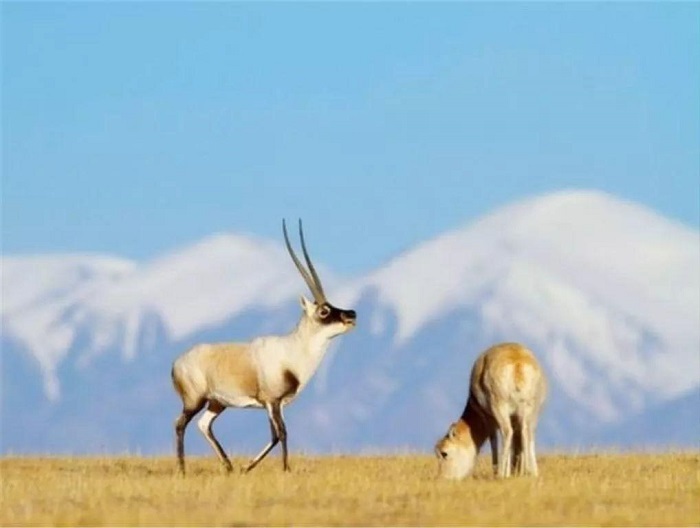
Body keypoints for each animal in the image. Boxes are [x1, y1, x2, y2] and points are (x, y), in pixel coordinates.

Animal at [170, 219, 356, 474]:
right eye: (324, 310)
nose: (351, 314)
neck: (294, 350)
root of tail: (176, 363)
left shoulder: (278, 404)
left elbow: (276, 435)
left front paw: (247, 467)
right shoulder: (272, 401)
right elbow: (281, 433)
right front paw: (285, 469)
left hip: (216, 403)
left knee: (203, 425)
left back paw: (228, 466)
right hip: (194, 400)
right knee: (180, 424)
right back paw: (182, 469)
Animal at [438, 342, 548, 478]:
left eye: (444, 453)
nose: (441, 478)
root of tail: (517, 360)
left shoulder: (490, 420)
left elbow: (494, 439)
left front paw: (500, 472)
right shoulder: (515, 419)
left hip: (500, 409)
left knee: (507, 433)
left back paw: (501, 473)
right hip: (530, 413)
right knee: (527, 432)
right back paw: (530, 472)